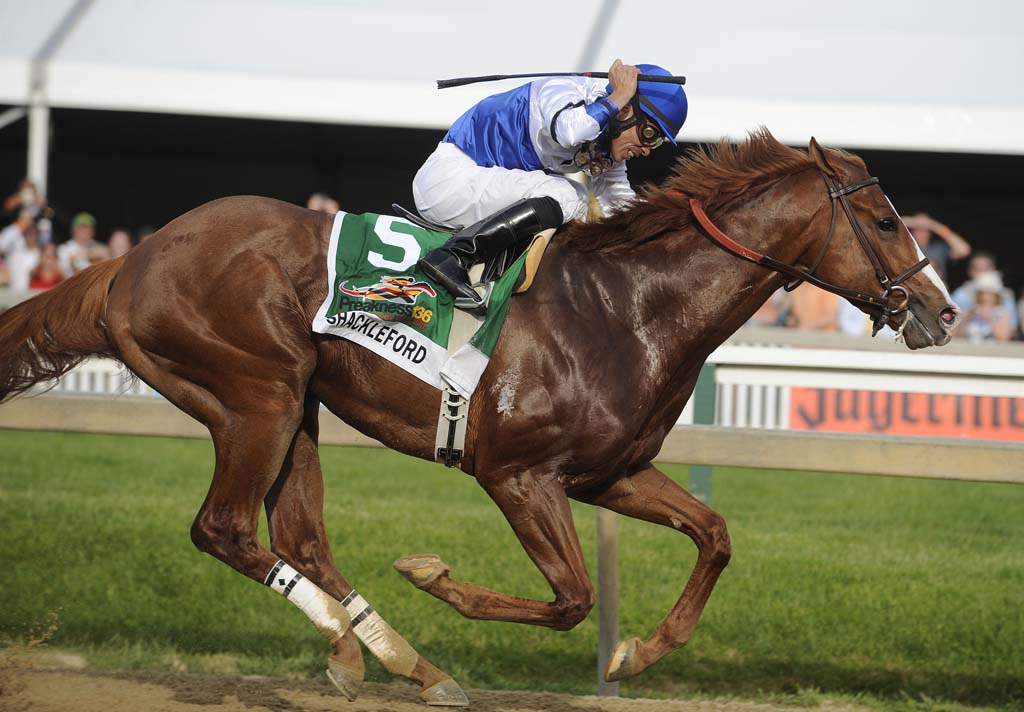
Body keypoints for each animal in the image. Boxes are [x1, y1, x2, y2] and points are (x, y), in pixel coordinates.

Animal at [2, 131, 958, 704]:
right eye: (883, 219)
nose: (943, 313)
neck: (629, 307)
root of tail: (134, 258)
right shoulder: (517, 474)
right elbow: (571, 598)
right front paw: (432, 574)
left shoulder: (609, 474)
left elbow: (714, 535)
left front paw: (640, 653)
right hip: (253, 394)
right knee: (225, 529)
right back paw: (363, 643)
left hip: (292, 405)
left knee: (298, 536)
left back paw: (390, 659)